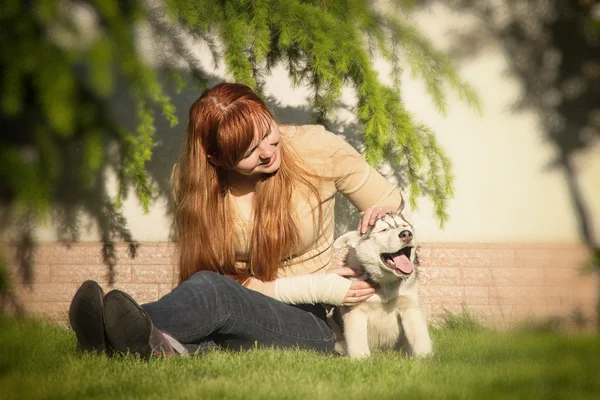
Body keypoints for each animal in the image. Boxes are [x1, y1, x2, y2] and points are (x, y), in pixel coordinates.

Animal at [332, 214, 432, 358]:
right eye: (383, 230)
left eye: (404, 226)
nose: (407, 234)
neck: (386, 283)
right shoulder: (355, 311)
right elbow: (358, 343)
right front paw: (361, 360)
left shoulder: (411, 307)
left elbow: (420, 338)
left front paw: (424, 359)